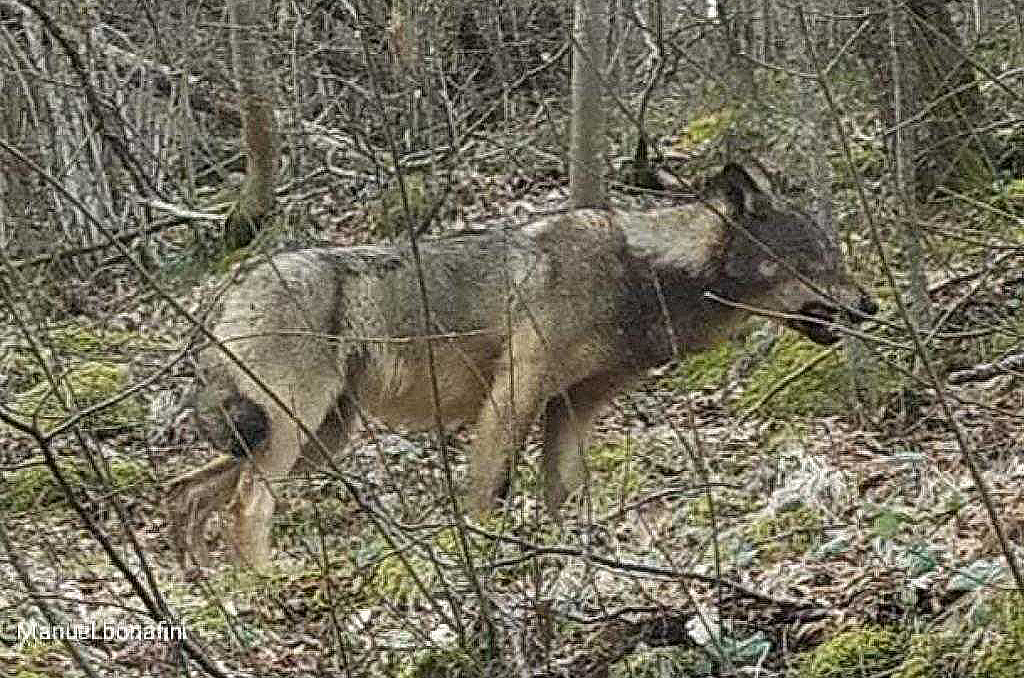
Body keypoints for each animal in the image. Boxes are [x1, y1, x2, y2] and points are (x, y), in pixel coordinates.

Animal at [169, 164, 880, 569]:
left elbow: (566, 494)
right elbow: (487, 496)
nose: (872, 306)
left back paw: (207, 592)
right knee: (247, 506)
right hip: (293, 433)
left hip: (313, 438)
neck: (641, 277)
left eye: (836, 256)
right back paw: (267, 584)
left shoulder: (573, 410)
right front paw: (488, 562)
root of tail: (230, 287)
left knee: (188, 490)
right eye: (817, 261)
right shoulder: (512, 397)